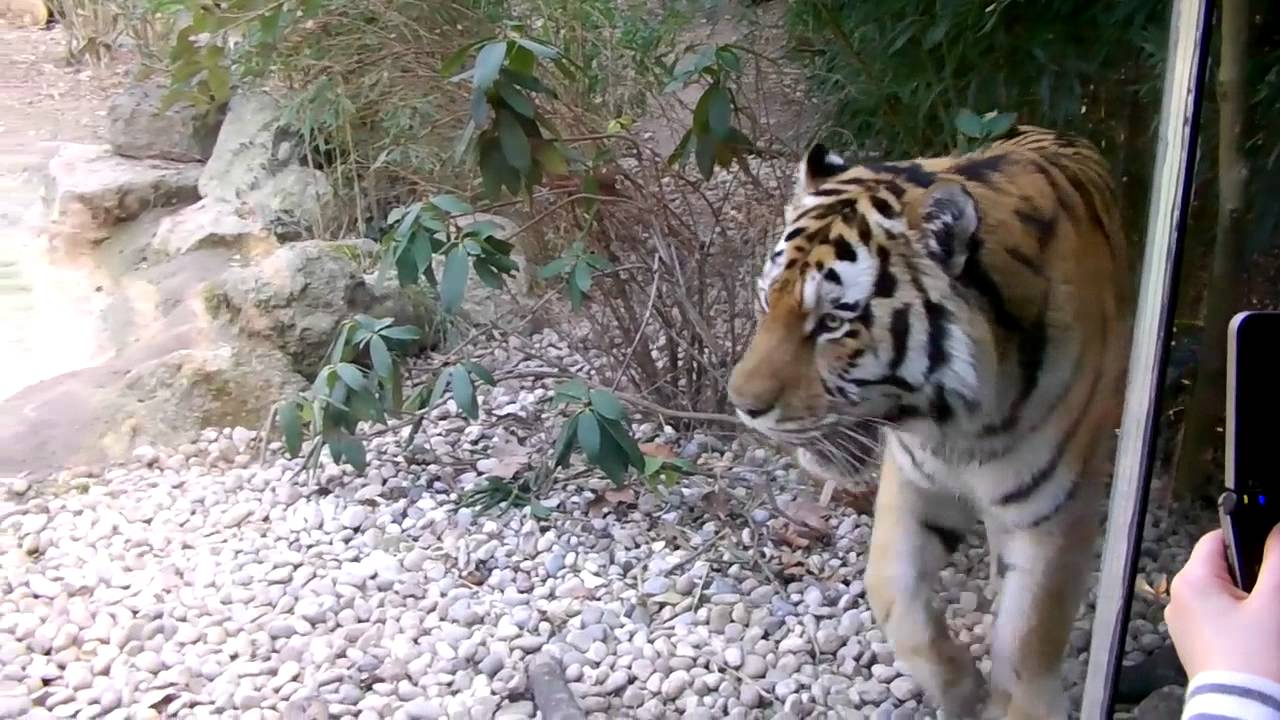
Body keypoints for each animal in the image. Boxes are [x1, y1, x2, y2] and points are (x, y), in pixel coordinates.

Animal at [727, 125, 1132, 719]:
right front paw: (963, 693)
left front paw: (1008, 700)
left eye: (833, 322)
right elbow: (893, 594)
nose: (741, 405)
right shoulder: (914, 481)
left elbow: (1027, 636)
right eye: (765, 299)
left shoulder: (1052, 512)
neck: (961, 424)